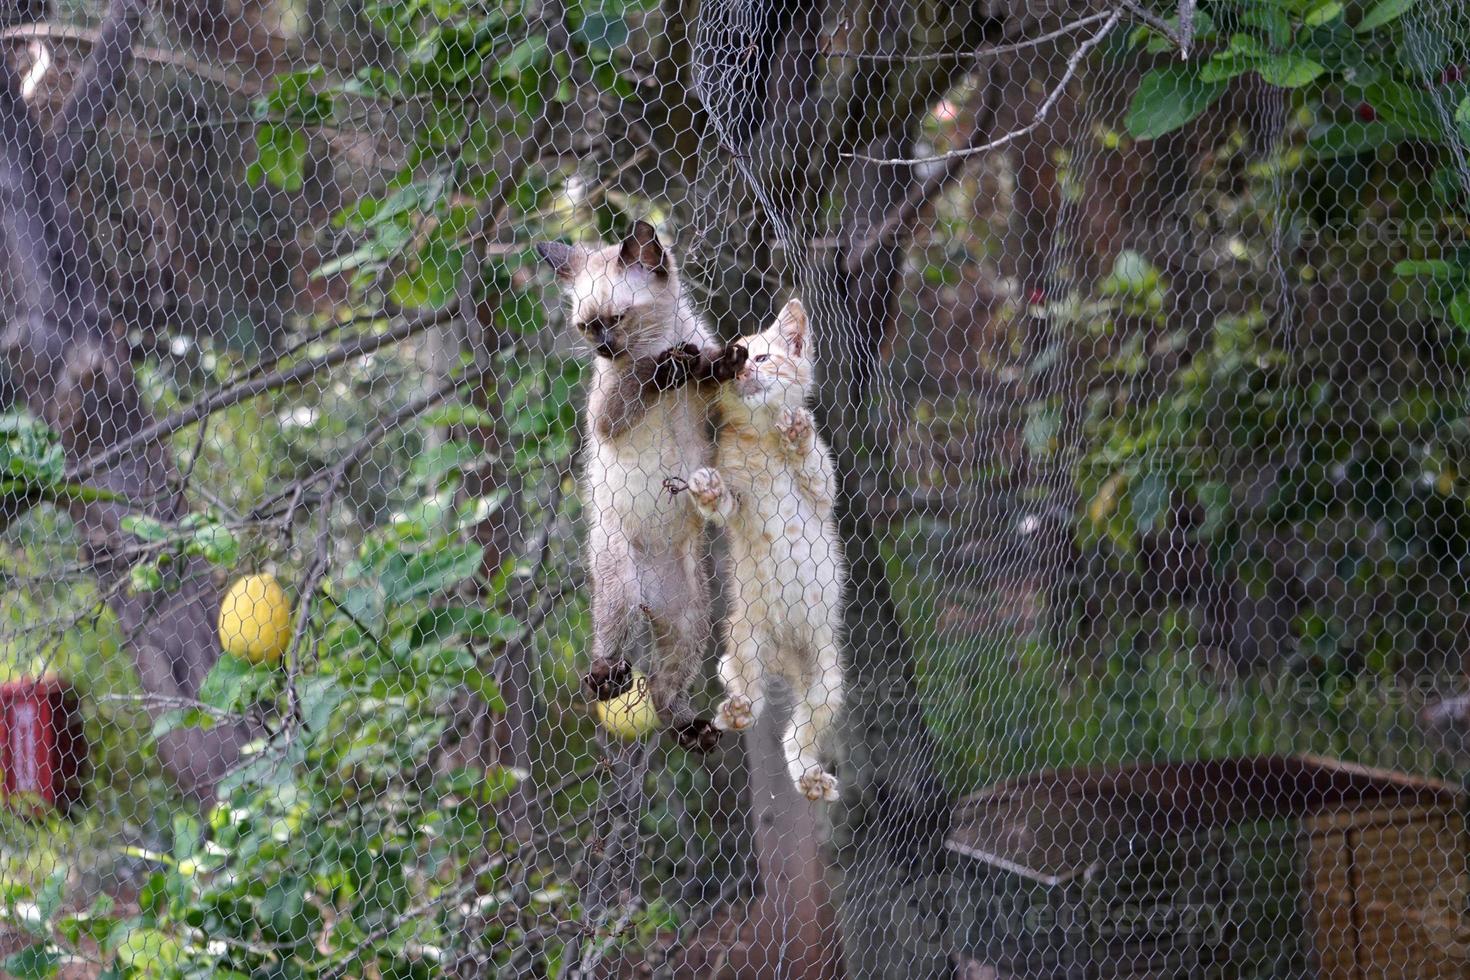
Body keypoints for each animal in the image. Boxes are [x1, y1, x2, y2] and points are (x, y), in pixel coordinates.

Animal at [538, 221, 746, 746]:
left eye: (617, 318)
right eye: (587, 326)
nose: (603, 349)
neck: (659, 338)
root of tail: (650, 601)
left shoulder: (711, 409)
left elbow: (710, 368)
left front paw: (708, 363)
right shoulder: (605, 415)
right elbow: (643, 374)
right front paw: (669, 366)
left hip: (690, 623)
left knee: (661, 685)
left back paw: (692, 731)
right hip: (619, 584)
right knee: (612, 646)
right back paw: (606, 677)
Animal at [673, 299, 846, 805]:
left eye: (764, 357)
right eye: (736, 363)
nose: (747, 370)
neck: (763, 439)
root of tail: (785, 655)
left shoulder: (826, 493)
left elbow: (815, 471)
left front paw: (797, 432)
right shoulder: (738, 508)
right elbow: (724, 504)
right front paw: (707, 490)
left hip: (827, 678)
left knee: (799, 734)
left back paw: (810, 777)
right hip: (746, 636)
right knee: (747, 687)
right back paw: (736, 712)